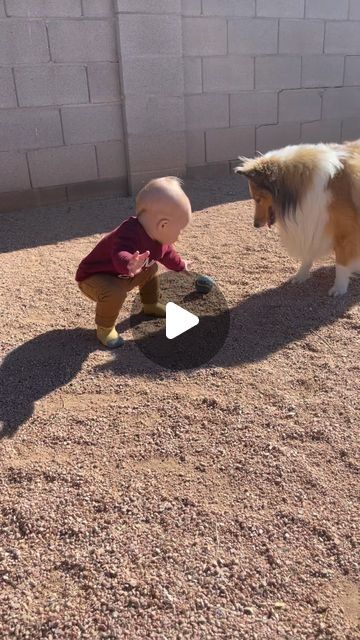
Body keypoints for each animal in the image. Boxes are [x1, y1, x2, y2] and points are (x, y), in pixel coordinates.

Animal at [233, 140, 360, 296]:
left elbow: (341, 263)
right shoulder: (312, 221)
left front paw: (339, 288)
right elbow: (308, 252)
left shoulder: (346, 233)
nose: (255, 224)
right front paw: (300, 276)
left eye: (258, 199)